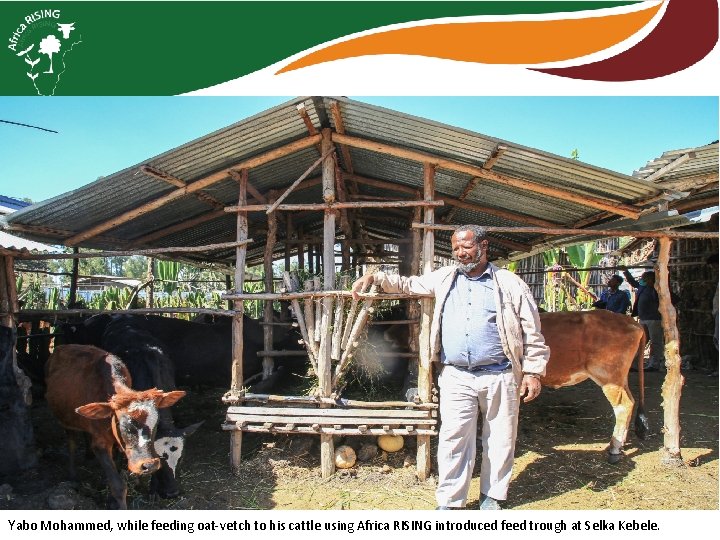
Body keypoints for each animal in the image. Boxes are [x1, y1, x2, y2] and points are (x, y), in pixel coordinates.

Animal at [45, 344, 186, 508]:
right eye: (123, 425)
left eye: (156, 423)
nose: (149, 465)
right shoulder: (100, 444)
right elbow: (118, 485)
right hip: (66, 420)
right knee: (72, 442)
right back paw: (73, 476)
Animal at [540, 310, 648, 462]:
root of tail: (629, 320)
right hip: (620, 378)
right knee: (631, 401)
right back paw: (621, 443)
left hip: (609, 377)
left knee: (623, 406)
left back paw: (614, 449)